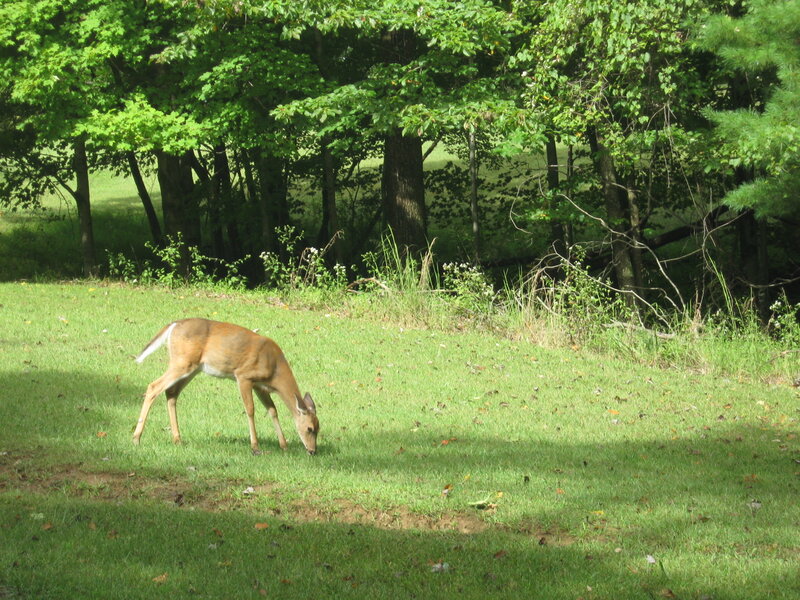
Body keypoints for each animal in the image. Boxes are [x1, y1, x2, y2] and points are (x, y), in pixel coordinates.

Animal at [132, 318, 319, 455]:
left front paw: (284, 445)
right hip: (182, 362)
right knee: (153, 386)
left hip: (192, 367)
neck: (274, 369)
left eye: (318, 428)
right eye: (309, 429)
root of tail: (173, 325)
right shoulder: (243, 376)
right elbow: (250, 410)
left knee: (171, 393)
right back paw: (136, 438)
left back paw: (177, 439)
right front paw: (255, 446)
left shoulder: (260, 386)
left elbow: (272, 410)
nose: (312, 451)